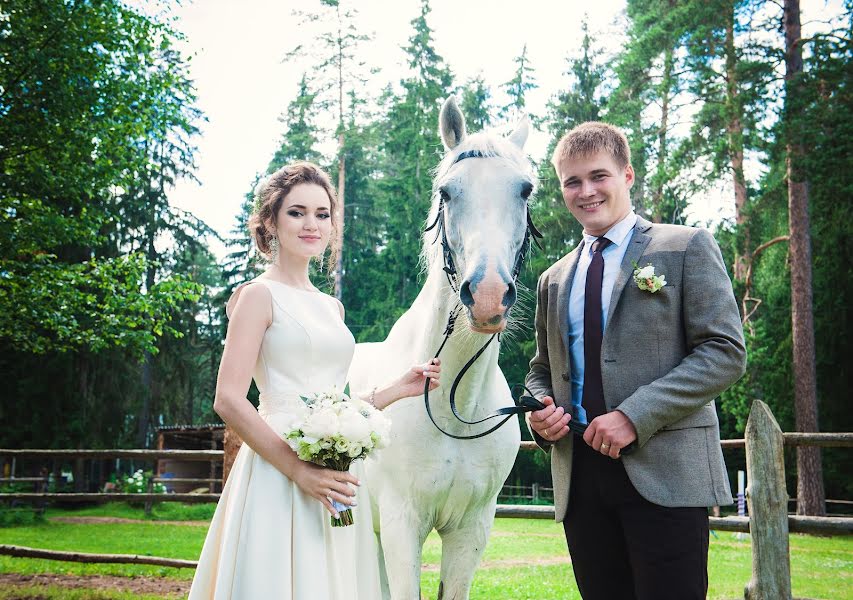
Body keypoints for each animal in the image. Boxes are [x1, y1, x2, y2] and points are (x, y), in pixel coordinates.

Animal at [350, 96, 536, 596]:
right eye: (447, 193)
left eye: (525, 191)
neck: (455, 409)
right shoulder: (402, 525)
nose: (488, 295)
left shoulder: (472, 530)